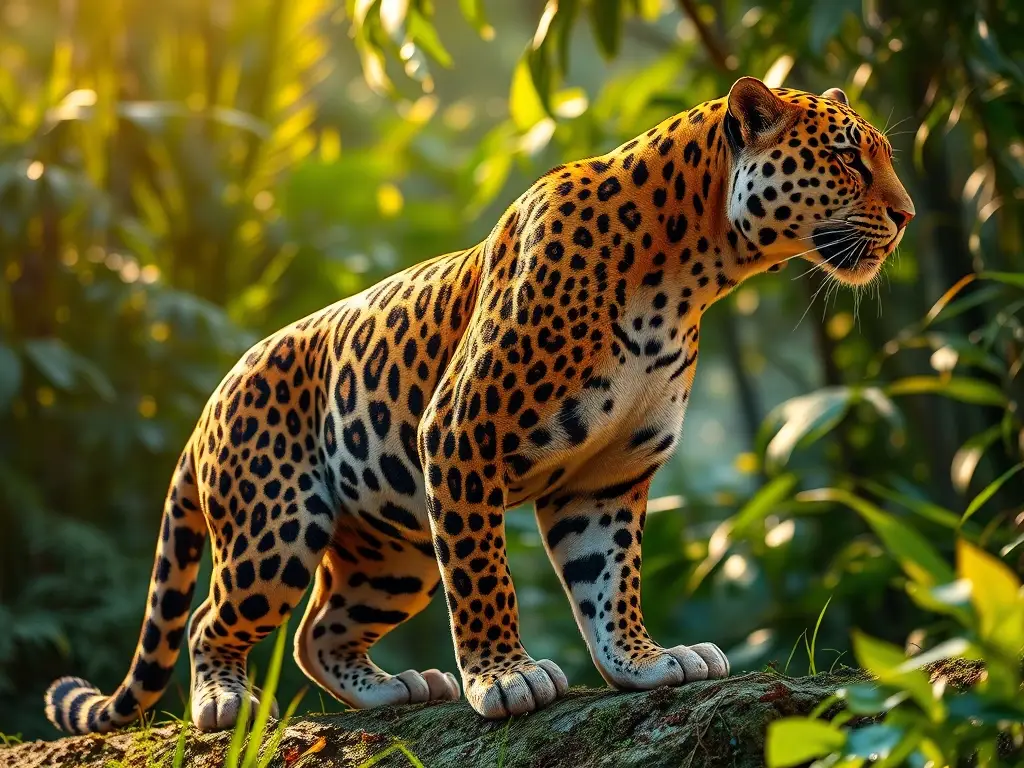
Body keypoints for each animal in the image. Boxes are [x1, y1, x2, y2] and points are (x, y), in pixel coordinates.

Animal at [45, 76, 914, 733]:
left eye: (883, 156)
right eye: (847, 157)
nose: (907, 216)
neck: (692, 270)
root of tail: (209, 406)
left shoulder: (605, 476)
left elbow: (611, 578)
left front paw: (641, 662)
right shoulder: (461, 434)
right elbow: (484, 574)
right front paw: (505, 678)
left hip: (391, 555)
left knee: (317, 631)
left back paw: (393, 688)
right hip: (276, 525)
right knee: (210, 619)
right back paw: (226, 699)